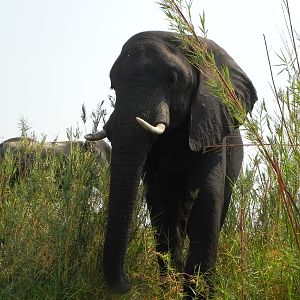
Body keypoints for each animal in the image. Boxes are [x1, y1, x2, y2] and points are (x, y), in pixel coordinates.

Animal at [85, 30, 258, 298]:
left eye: (173, 79)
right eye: (113, 85)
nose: (128, 284)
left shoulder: (210, 125)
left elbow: (207, 199)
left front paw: (197, 293)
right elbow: (162, 202)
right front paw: (172, 289)